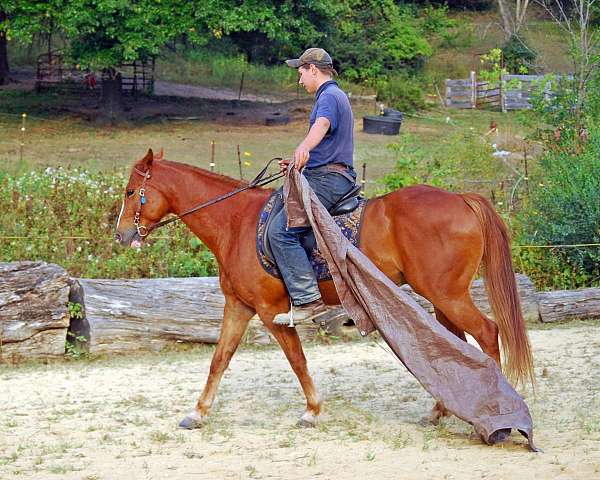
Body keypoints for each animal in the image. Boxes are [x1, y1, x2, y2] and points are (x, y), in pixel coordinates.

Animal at [116, 150, 536, 428]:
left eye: (130, 191)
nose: (121, 236)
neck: (235, 222)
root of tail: (462, 199)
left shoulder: (271, 310)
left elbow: (297, 360)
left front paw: (313, 410)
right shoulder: (239, 306)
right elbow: (219, 358)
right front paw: (198, 412)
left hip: (448, 295)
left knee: (487, 333)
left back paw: (497, 413)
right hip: (442, 299)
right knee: (453, 345)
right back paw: (440, 411)